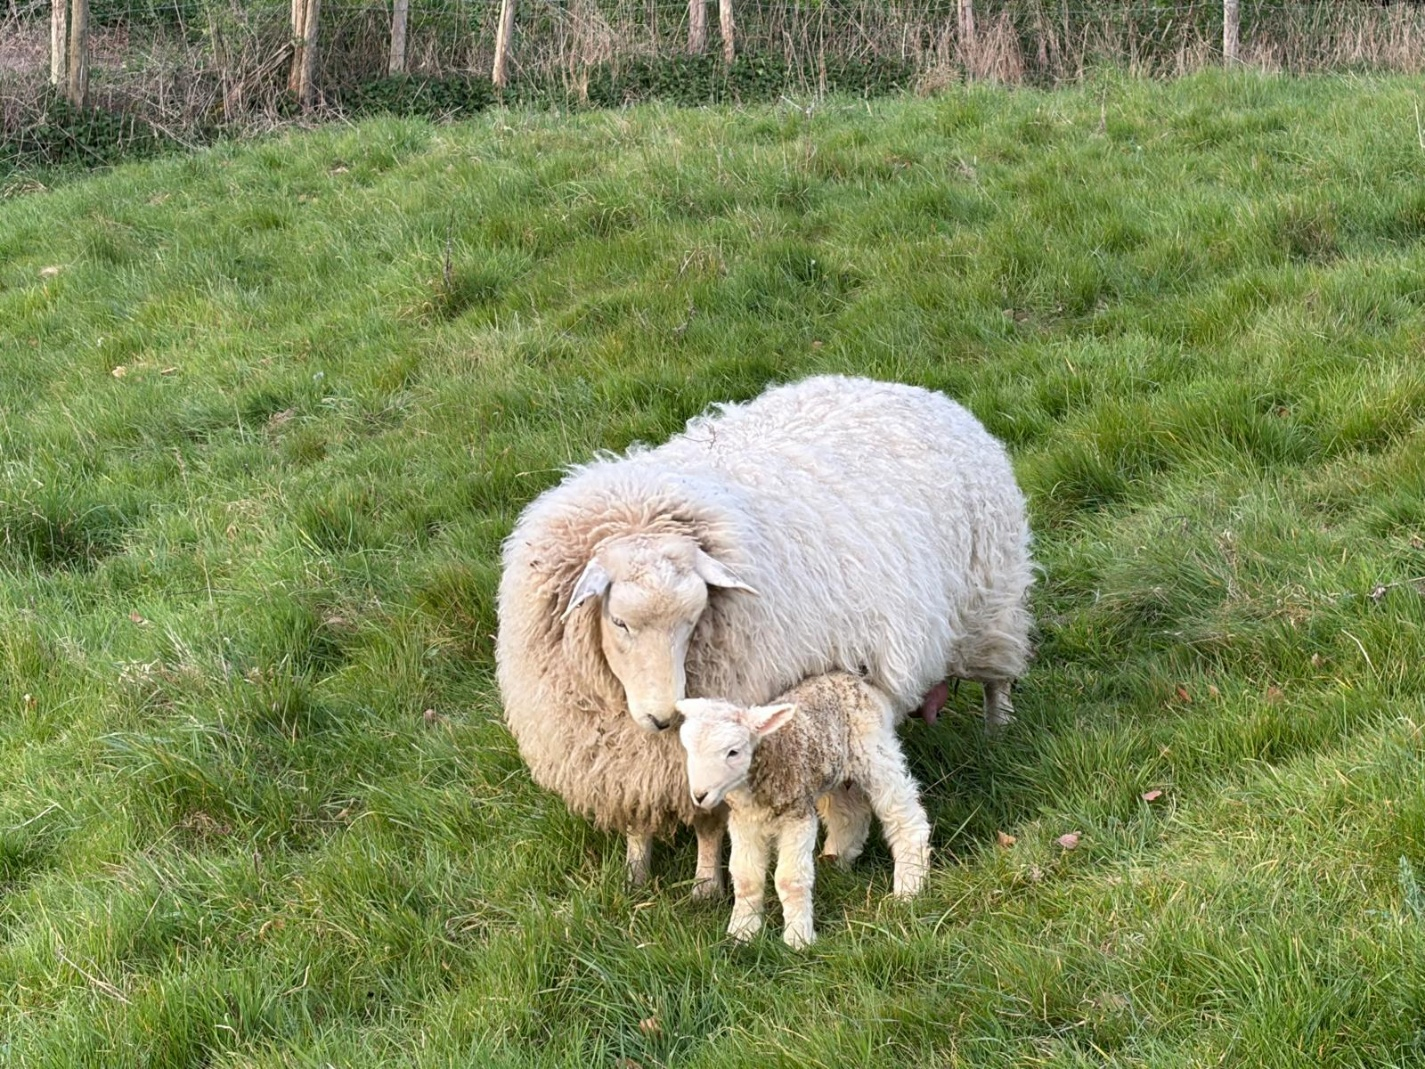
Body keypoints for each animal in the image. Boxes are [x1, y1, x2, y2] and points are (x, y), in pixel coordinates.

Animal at [496, 374, 1033, 891]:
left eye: (693, 619)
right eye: (619, 621)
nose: (664, 717)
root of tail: (915, 390)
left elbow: (708, 822)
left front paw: (706, 885)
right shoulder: (619, 761)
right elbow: (636, 822)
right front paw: (635, 874)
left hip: (990, 605)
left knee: (997, 680)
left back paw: (998, 733)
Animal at [676, 672, 931, 949]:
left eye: (733, 752)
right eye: (689, 751)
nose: (699, 795)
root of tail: (854, 679)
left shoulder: (797, 817)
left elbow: (790, 880)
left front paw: (798, 939)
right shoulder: (744, 823)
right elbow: (745, 878)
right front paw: (742, 933)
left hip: (875, 753)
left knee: (905, 819)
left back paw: (908, 888)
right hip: (835, 769)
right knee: (849, 815)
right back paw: (835, 862)